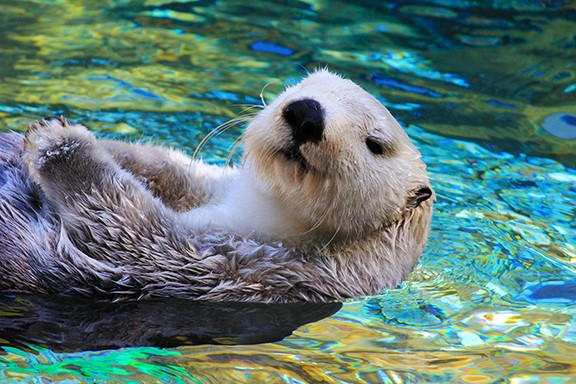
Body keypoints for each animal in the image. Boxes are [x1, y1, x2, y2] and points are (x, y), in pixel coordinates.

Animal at [0, 70, 432, 302]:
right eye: (303, 84)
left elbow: (125, 226)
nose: (306, 112)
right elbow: (163, 166)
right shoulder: (207, 185)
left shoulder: (249, 267)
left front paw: (60, 142)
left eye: (375, 144)